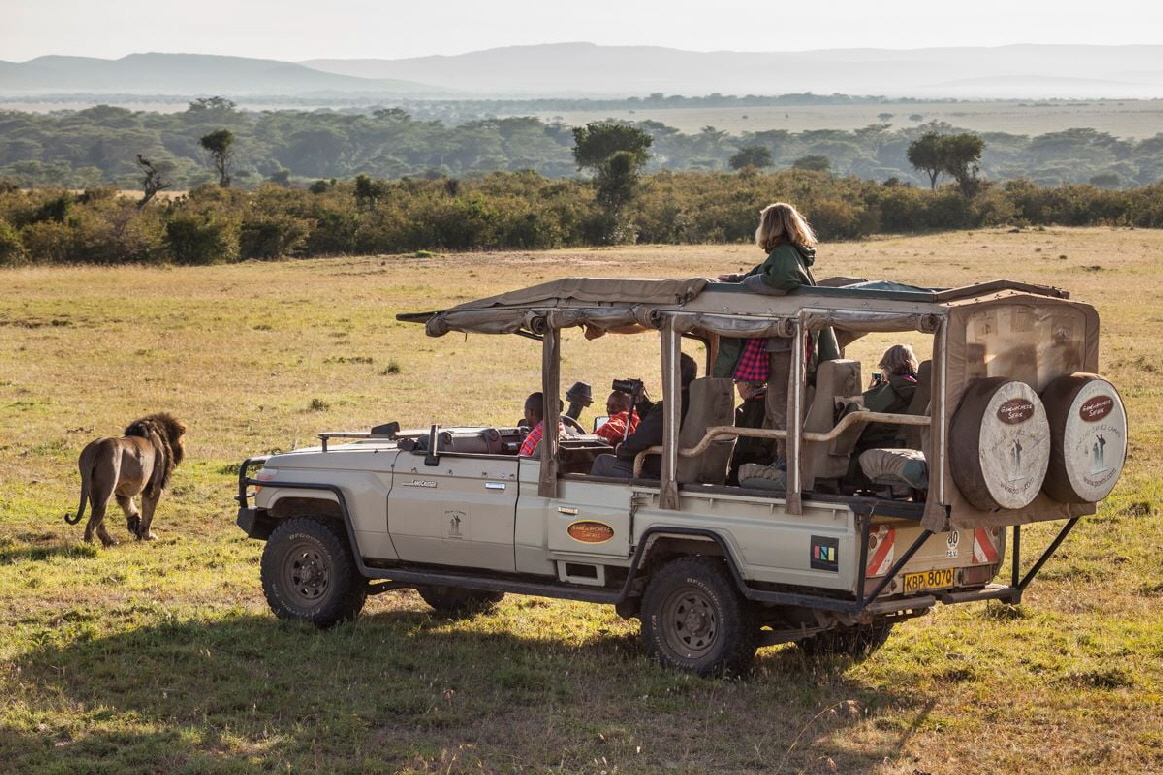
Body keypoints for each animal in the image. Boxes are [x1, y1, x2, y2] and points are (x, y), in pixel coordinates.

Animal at [63, 413, 187, 546]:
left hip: (91, 487)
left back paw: (110, 541)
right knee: (93, 520)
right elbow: (149, 512)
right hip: (105, 489)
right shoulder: (154, 486)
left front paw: (136, 525)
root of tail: (95, 448)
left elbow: (128, 504)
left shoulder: (123, 488)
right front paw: (147, 535)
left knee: (98, 519)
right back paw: (90, 545)